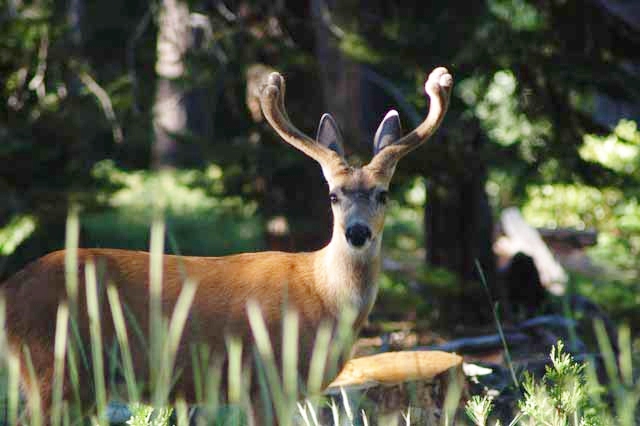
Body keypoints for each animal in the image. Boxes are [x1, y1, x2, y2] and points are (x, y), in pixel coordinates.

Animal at [0, 66, 452, 422]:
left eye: (383, 194)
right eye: (332, 196)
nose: (357, 233)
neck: (323, 294)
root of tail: (9, 289)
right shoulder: (265, 378)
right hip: (55, 370)